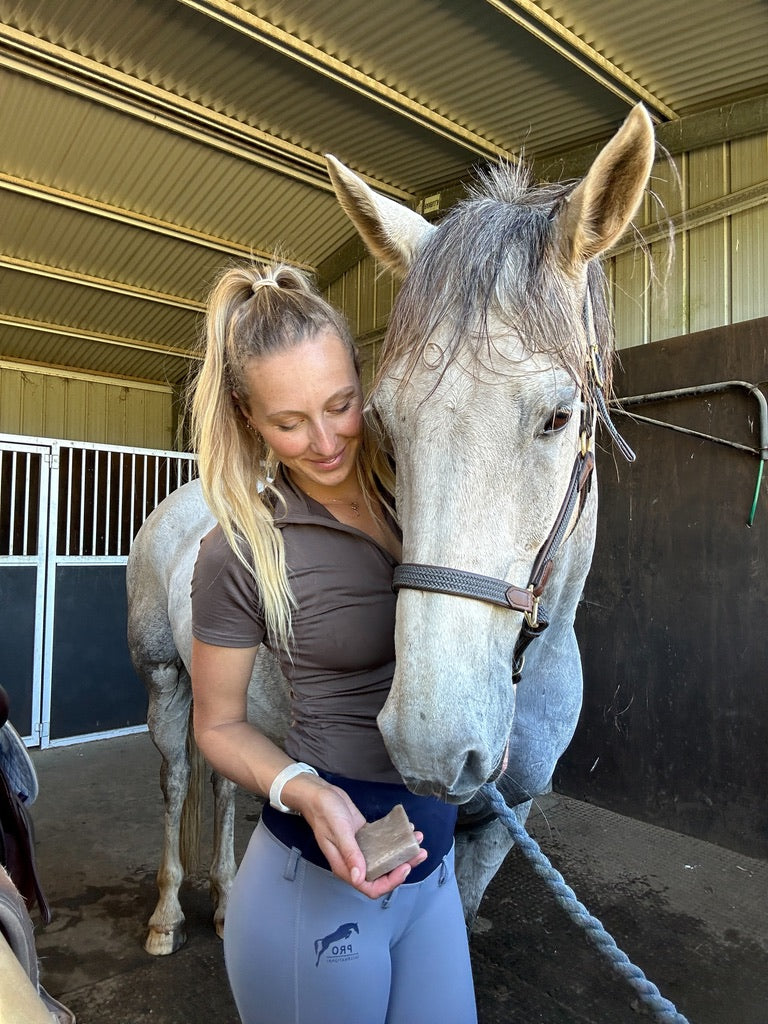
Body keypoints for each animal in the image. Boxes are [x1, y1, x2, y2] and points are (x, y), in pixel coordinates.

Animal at [128, 103, 655, 950]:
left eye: (557, 416)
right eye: (385, 420)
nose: (428, 741)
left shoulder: (502, 825)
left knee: (223, 781)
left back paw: (228, 894)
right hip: (166, 679)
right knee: (178, 779)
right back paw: (168, 914)